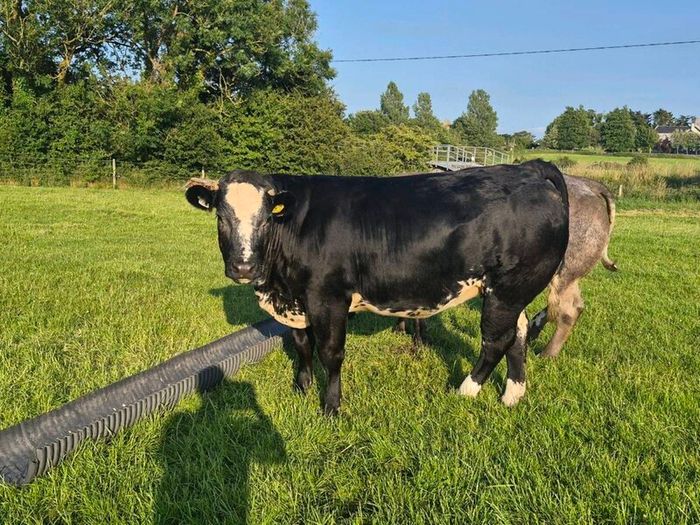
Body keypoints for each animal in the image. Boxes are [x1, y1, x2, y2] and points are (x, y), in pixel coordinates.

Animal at [185, 160, 569, 414]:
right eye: (221, 216)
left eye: (266, 218)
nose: (243, 267)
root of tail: (527, 169)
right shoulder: (297, 301)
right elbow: (301, 345)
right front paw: (302, 386)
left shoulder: (328, 298)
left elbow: (331, 353)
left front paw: (331, 406)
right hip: (513, 291)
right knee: (518, 334)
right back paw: (512, 394)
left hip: (507, 288)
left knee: (496, 340)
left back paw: (466, 390)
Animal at [393, 174, 617, 358]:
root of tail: (590, 184)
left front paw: (418, 342)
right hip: (572, 272)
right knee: (572, 305)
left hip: (565, 271)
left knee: (567, 310)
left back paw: (546, 354)